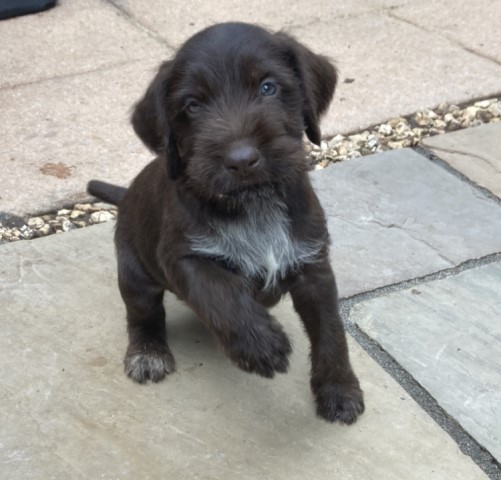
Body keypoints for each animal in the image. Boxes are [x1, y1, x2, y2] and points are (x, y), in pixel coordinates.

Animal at [89, 21, 364, 424]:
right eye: (192, 105)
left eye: (268, 86)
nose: (241, 159)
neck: (254, 204)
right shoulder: (183, 257)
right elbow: (221, 293)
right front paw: (259, 344)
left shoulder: (314, 265)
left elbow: (331, 331)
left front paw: (339, 389)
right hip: (135, 275)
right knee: (143, 315)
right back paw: (148, 351)